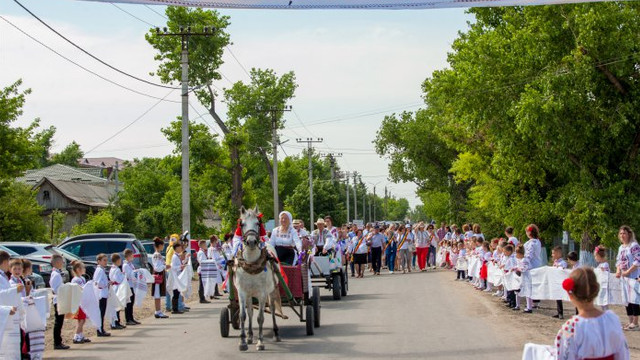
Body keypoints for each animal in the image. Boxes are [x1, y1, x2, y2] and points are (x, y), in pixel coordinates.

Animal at [234, 207, 282, 350]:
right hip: (250, 294)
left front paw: (260, 342)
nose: (251, 242)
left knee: (272, 309)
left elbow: (260, 317)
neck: (251, 265)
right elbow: (243, 315)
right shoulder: (242, 292)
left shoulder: (262, 293)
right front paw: (243, 341)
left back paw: (276, 333)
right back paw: (250, 336)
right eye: (242, 224)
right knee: (250, 311)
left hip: (271, 291)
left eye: (257, 223)